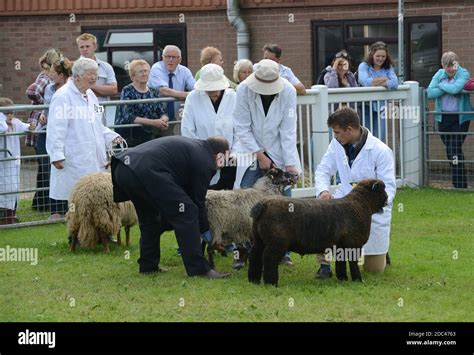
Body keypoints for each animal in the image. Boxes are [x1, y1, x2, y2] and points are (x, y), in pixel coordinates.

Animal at [246, 178, 386, 286]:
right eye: (382, 190)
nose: (387, 199)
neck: (361, 204)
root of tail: (263, 205)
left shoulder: (340, 246)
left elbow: (340, 263)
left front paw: (343, 279)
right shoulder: (353, 244)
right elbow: (353, 264)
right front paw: (357, 279)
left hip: (259, 240)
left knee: (254, 256)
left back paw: (254, 280)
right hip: (276, 242)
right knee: (269, 258)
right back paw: (271, 283)